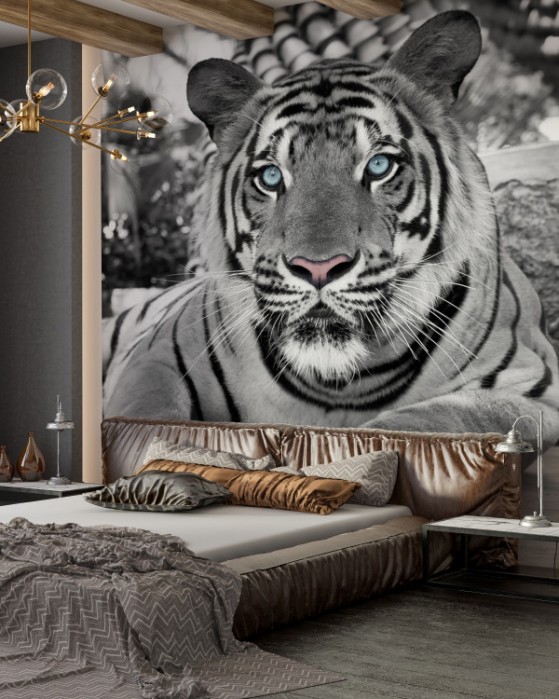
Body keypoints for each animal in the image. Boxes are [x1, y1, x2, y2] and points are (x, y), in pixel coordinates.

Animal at [103, 11, 559, 446]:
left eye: (379, 165)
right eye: (271, 176)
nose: (318, 269)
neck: (339, 384)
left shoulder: (532, 388)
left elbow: (420, 424)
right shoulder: (158, 359)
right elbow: (145, 425)